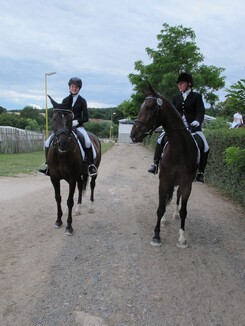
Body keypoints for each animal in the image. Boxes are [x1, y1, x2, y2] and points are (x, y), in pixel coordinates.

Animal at [47, 95, 100, 236]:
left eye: (71, 119)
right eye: (54, 119)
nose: (63, 144)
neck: (61, 155)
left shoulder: (71, 178)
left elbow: (69, 201)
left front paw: (69, 226)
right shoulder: (54, 178)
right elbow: (58, 198)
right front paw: (58, 221)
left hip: (93, 173)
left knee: (92, 186)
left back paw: (91, 207)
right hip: (79, 175)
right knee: (81, 187)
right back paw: (78, 209)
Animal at [130, 84, 197, 247]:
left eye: (149, 107)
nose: (133, 135)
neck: (179, 150)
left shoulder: (187, 184)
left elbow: (184, 211)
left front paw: (182, 238)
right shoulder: (164, 181)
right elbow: (160, 208)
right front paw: (156, 235)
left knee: (176, 198)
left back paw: (174, 214)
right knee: (167, 198)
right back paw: (166, 218)